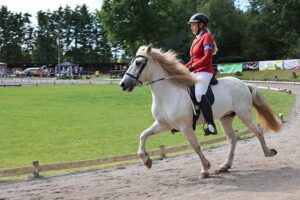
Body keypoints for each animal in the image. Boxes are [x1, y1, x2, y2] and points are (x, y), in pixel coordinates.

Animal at [119, 44, 282, 178]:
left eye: (138, 63)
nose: (123, 84)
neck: (167, 93)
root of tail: (243, 84)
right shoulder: (163, 124)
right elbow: (143, 135)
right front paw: (146, 160)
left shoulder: (185, 127)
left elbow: (196, 147)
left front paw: (205, 169)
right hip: (226, 117)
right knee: (232, 140)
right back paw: (225, 166)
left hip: (244, 115)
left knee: (258, 132)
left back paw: (268, 152)